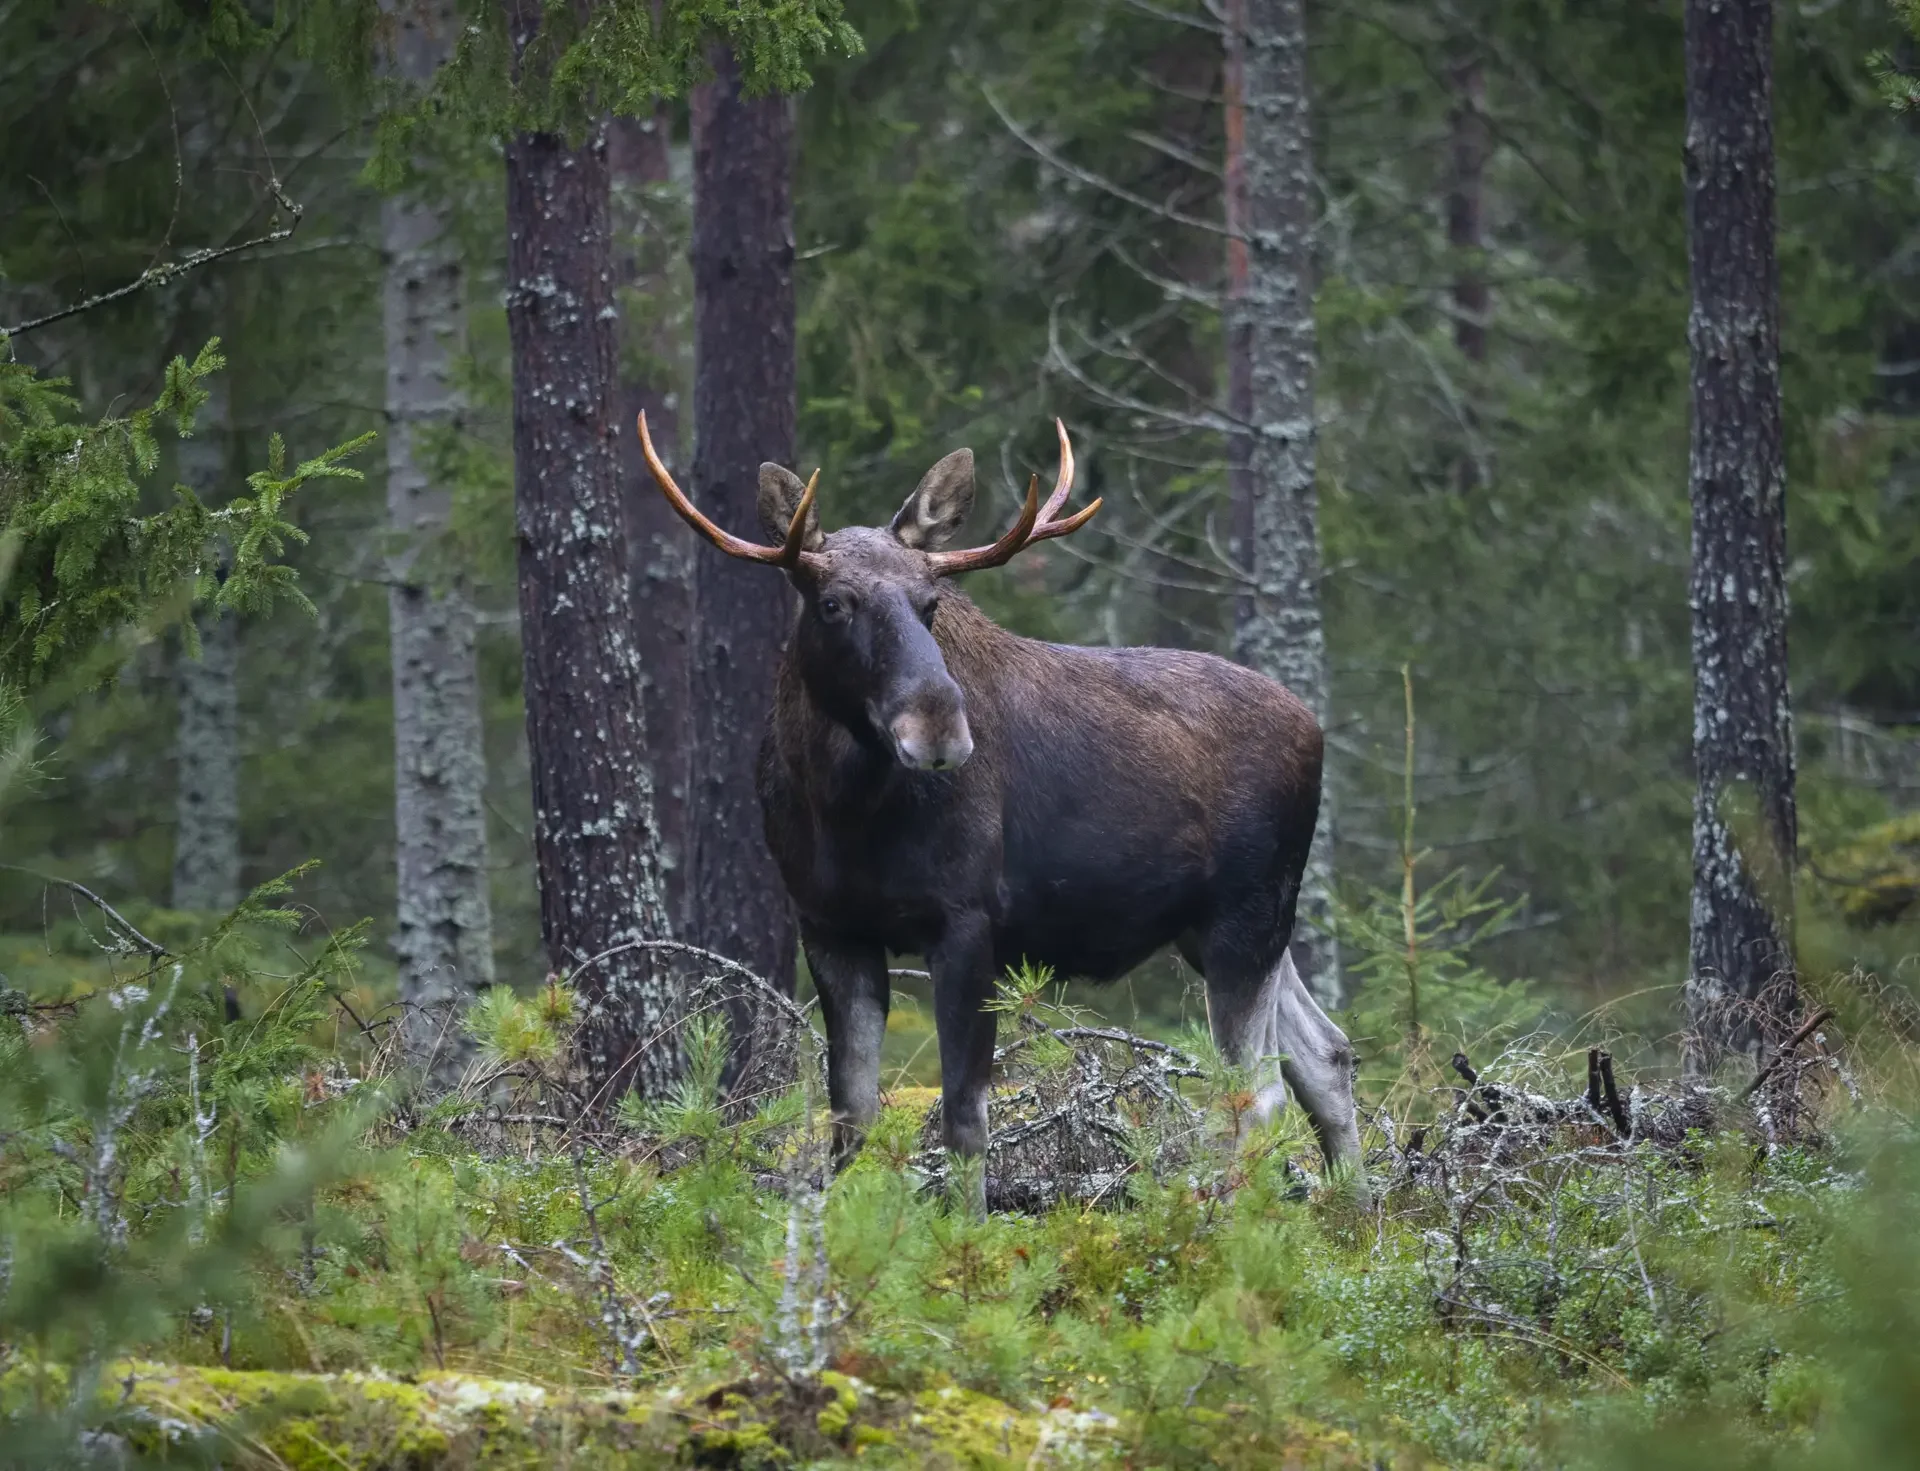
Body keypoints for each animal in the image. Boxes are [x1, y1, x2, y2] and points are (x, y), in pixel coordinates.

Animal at [637, 413, 1365, 1191]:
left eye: (931, 604)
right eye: (832, 604)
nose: (939, 728)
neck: (841, 810)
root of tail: (1314, 728)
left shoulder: (964, 921)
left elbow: (964, 1119)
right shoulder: (830, 927)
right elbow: (850, 1121)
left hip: (1246, 919)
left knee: (1255, 1095)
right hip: (1217, 929)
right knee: (1326, 1054)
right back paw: (1357, 1208)